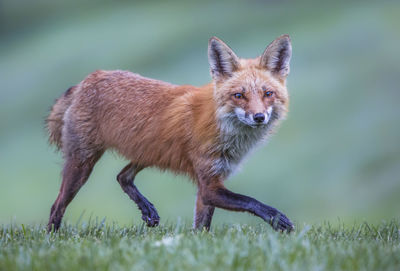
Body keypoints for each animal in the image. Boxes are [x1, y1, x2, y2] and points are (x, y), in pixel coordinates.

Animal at [47, 35, 294, 233]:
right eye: (239, 96)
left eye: (268, 94)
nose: (259, 117)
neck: (224, 130)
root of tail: (88, 79)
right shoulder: (209, 185)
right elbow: (251, 200)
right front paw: (277, 218)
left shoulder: (211, 180)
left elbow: (201, 226)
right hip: (82, 165)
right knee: (56, 206)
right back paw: (53, 239)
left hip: (149, 152)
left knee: (122, 176)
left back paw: (147, 210)